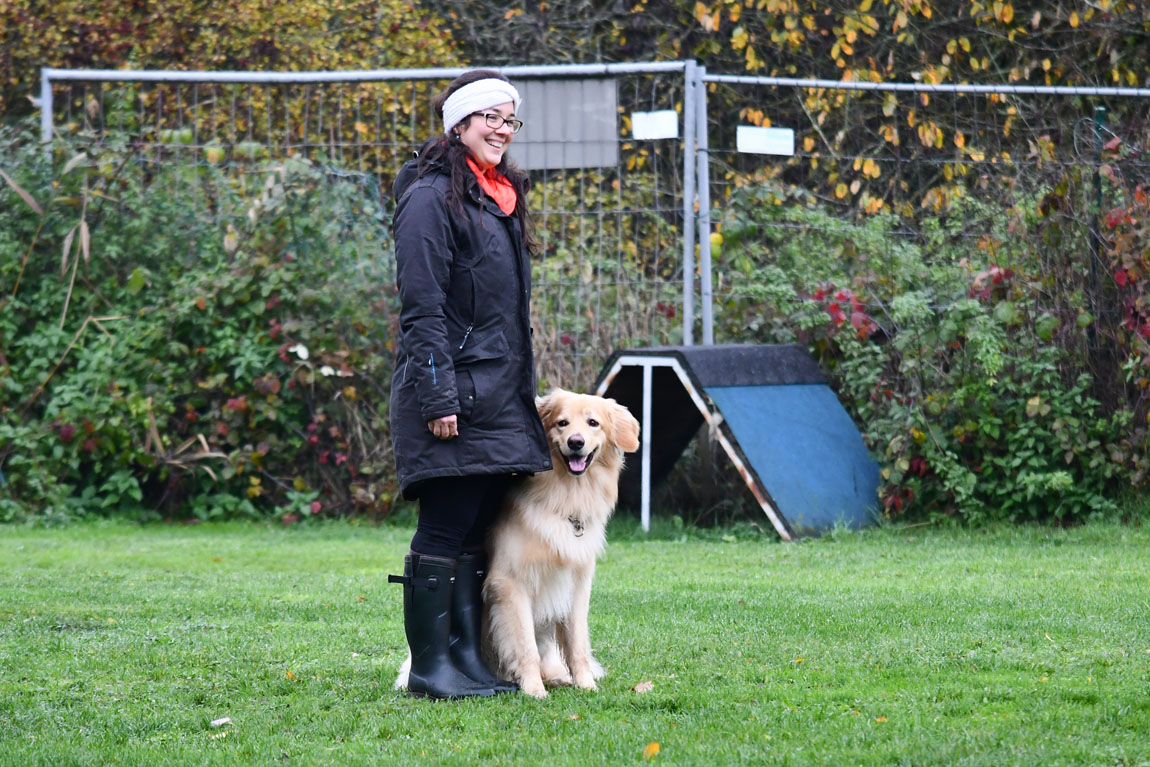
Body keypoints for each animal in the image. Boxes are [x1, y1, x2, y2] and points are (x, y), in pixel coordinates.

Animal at [480, 393, 644, 699]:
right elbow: (526, 647)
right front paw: (533, 689)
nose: (576, 442)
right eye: (561, 423)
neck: (566, 496)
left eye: (593, 423)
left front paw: (586, 684)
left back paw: (558, 677)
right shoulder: (511, 582)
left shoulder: (577, 584)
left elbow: (577, 644)